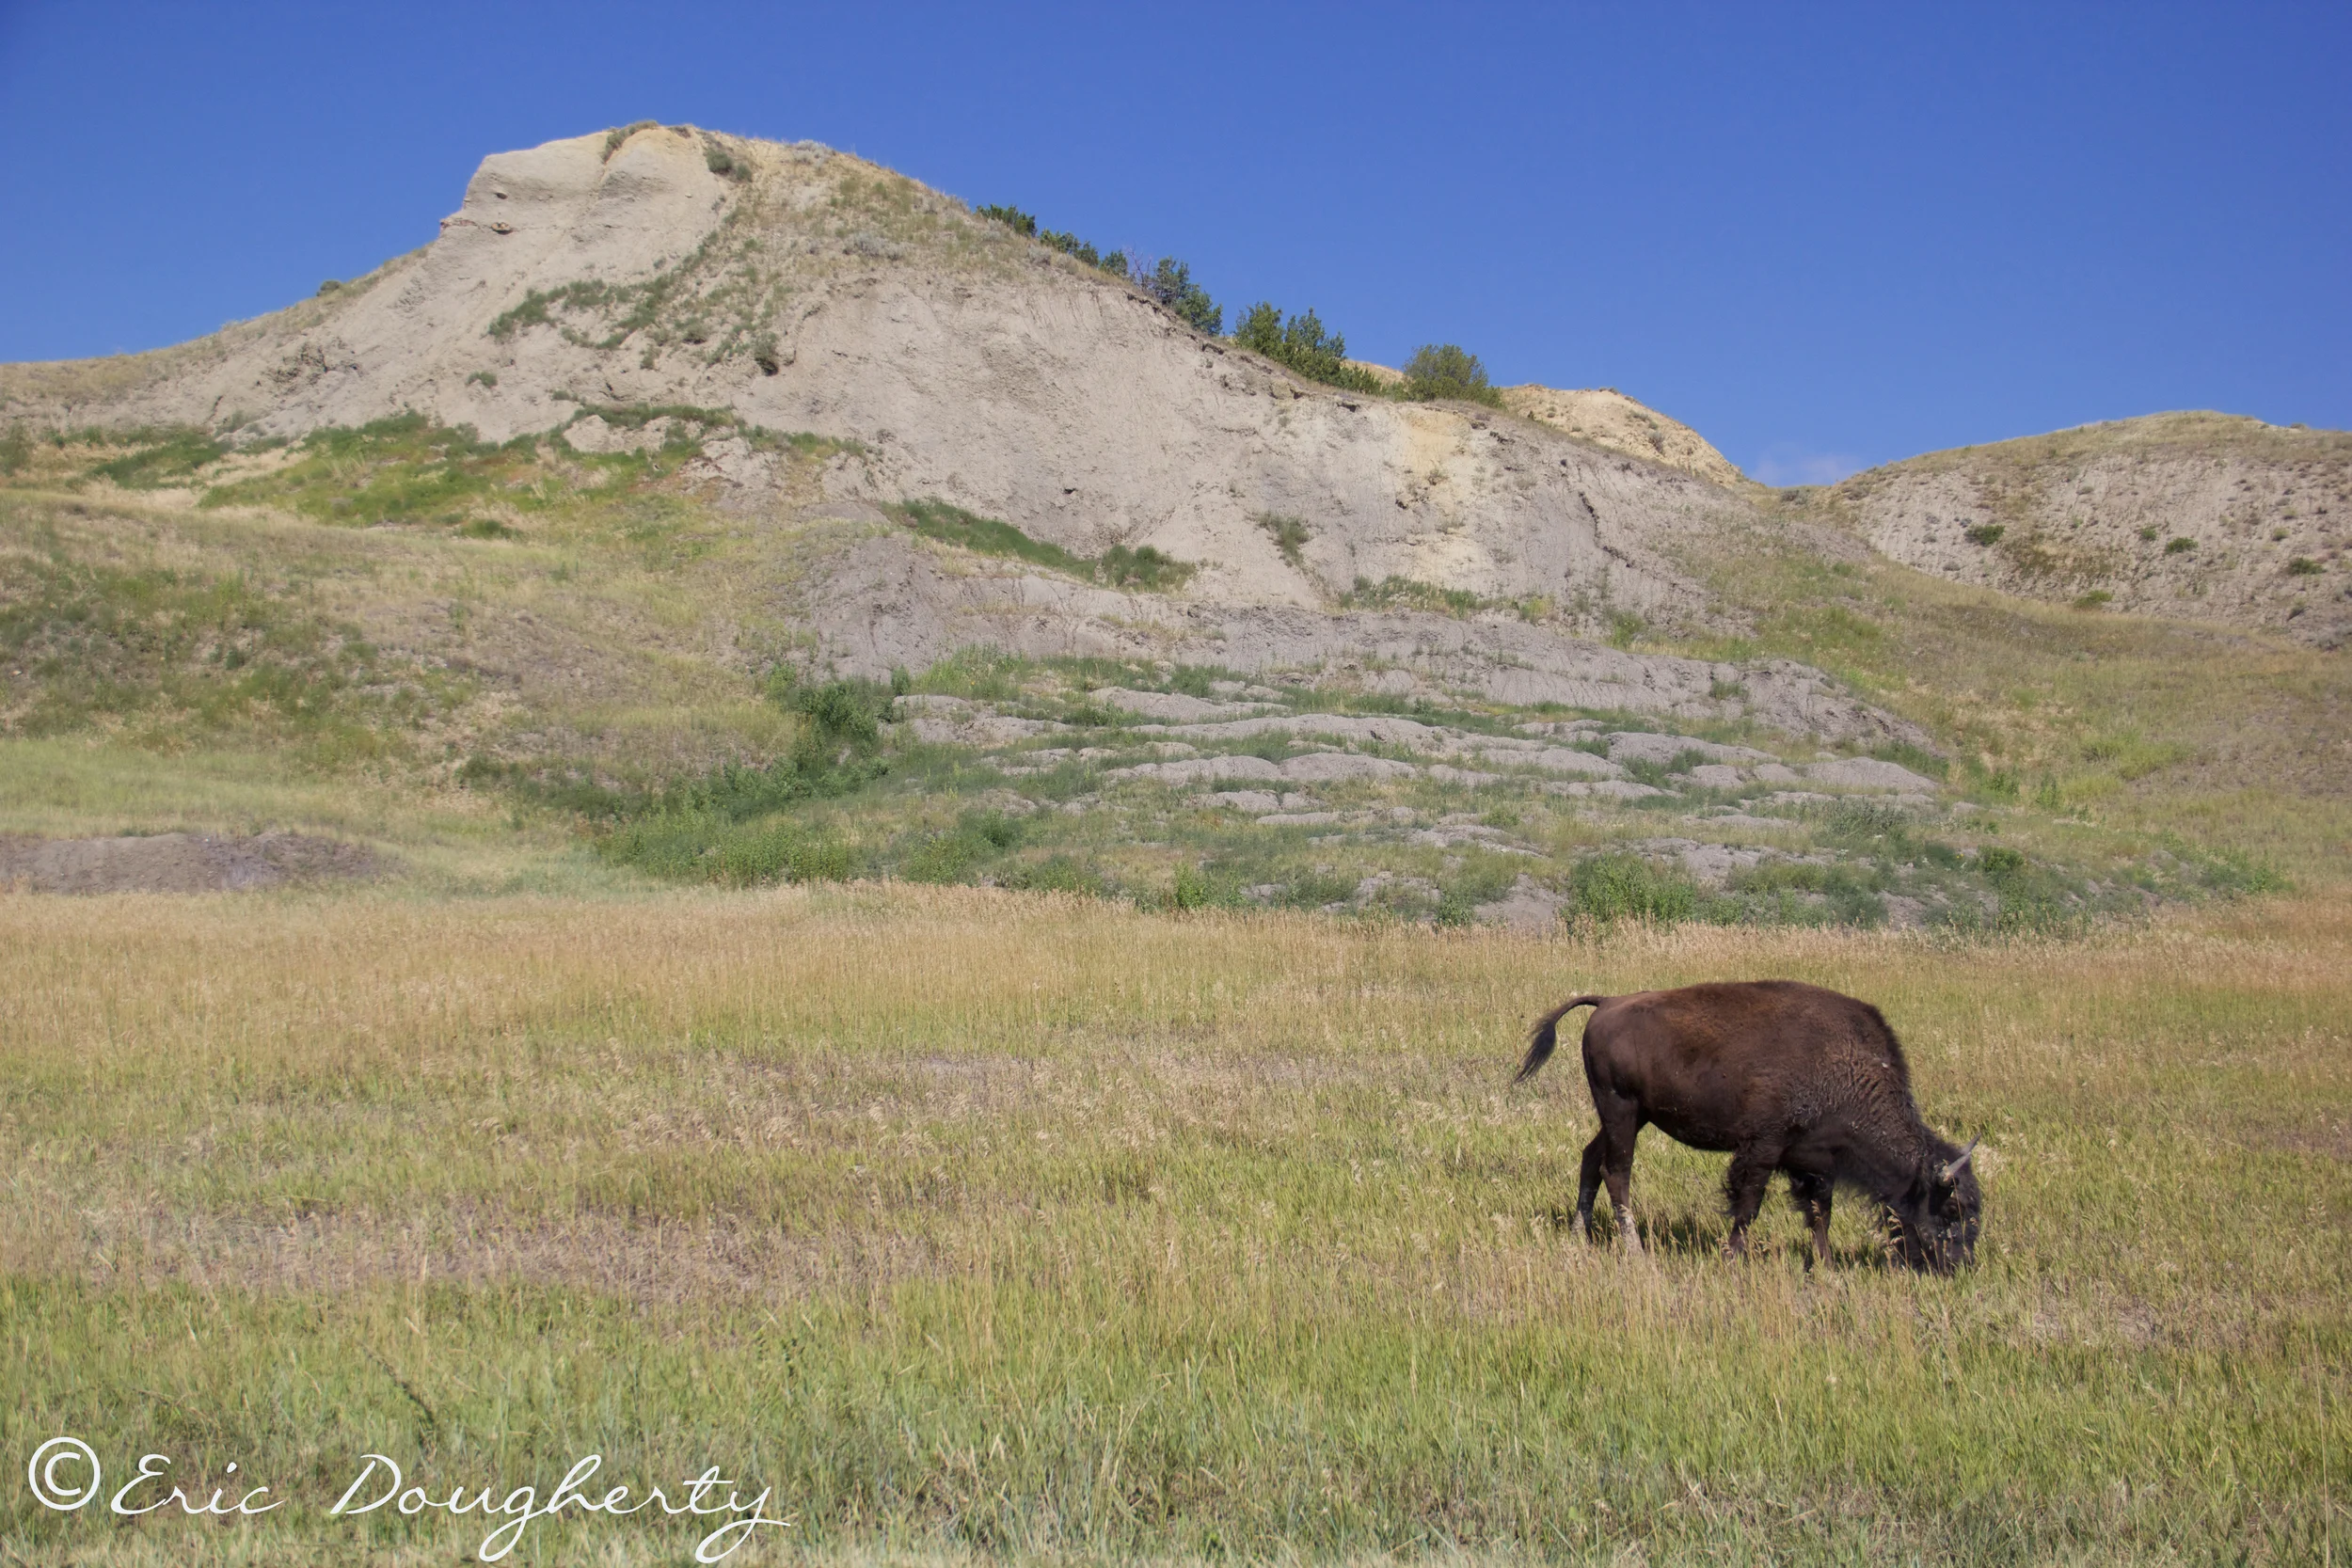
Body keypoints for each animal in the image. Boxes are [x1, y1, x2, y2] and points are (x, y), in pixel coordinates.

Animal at [1515, 981, 1981, 1272]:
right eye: (1951, 1209)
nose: (1959, 1265)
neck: (1845, 1067)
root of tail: (1608, 1002)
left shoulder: (1815, 1163)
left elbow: (1820, 1214)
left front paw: (1825, 1266)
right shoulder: (1763, 1148)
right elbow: (1748, 1205)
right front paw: (1731, 1258)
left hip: (1632, 1116)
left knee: (1591, 1159)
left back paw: (1579, 1234)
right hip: (1621, 1111)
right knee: (1617, 1172)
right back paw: (1636, 1252)